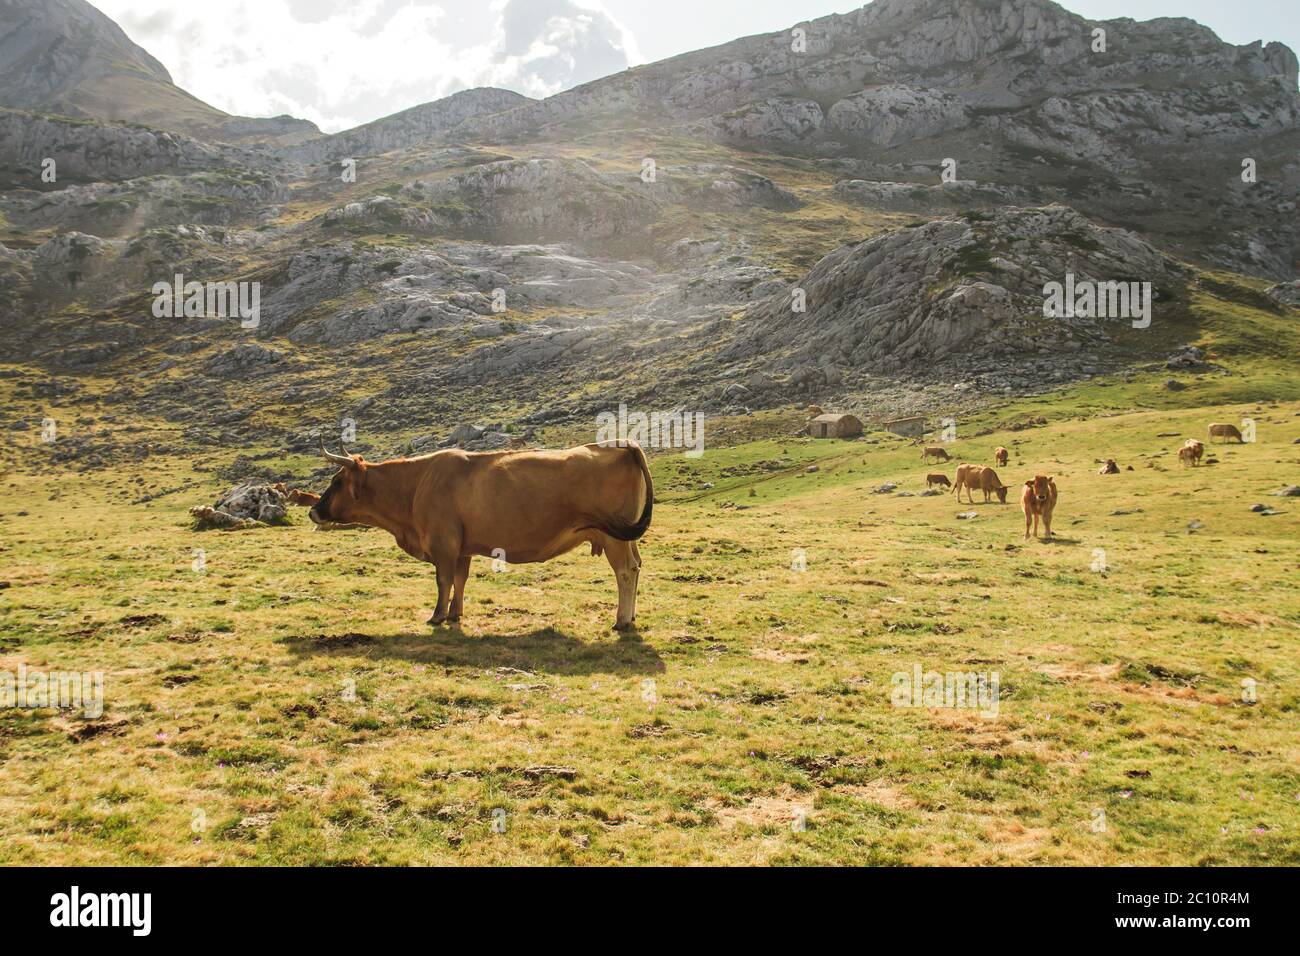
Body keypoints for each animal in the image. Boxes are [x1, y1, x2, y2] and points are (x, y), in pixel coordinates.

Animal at [310, 439, 653, 630]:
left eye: (337, 481)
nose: (313, 511)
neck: (417, 483)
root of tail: (623, 444)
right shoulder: (462, 548)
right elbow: (460, 580)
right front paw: (455, 614)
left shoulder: (443, 544)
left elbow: (443, 580)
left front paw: (437, 616)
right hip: (627, 536)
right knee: (637, 567)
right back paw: (633, 616)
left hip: (614, 538)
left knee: (625, 571)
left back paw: (622, 620)